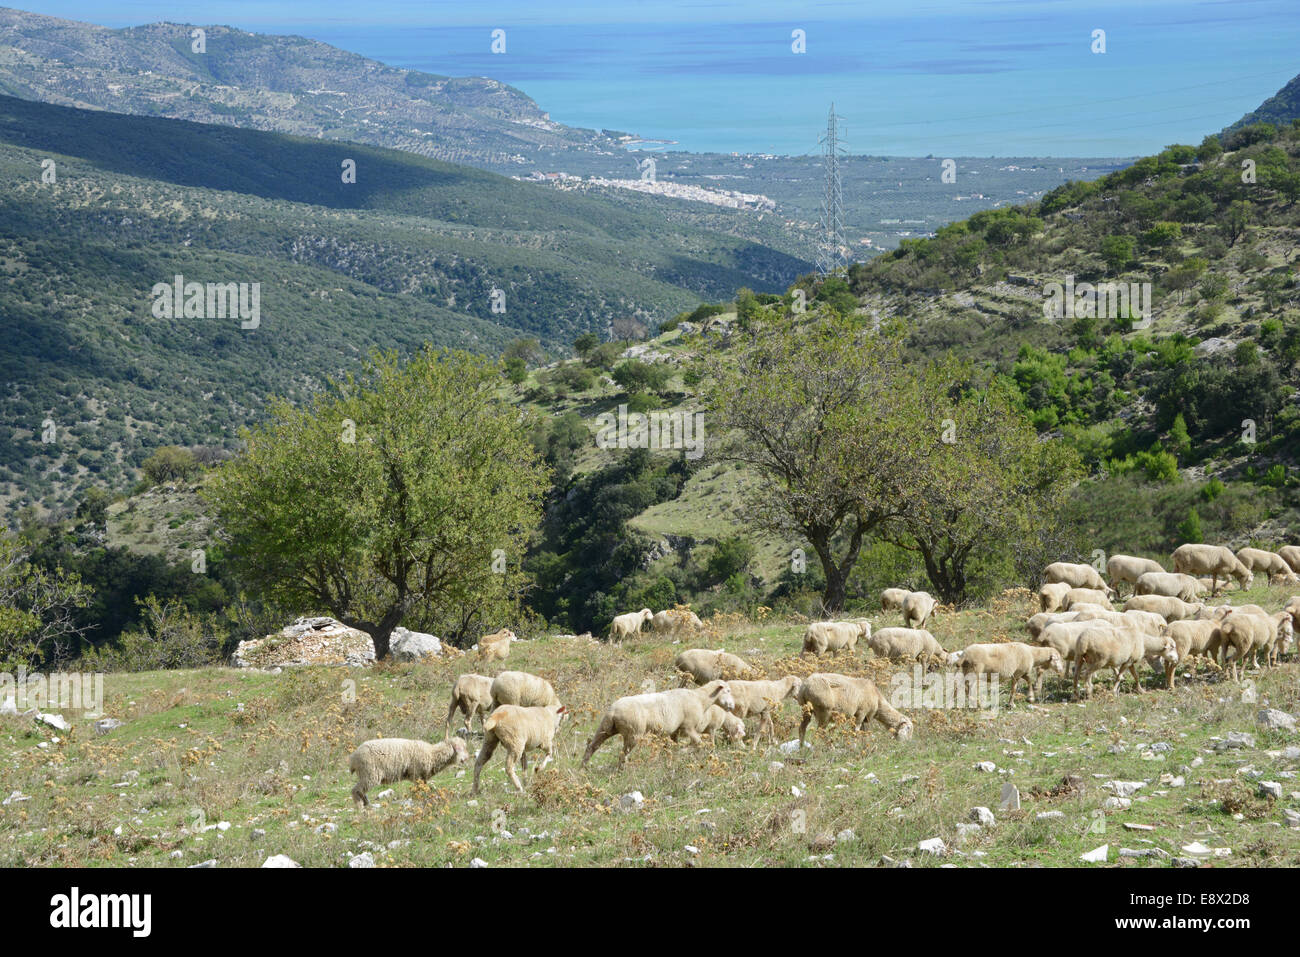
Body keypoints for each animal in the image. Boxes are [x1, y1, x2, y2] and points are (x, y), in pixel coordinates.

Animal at [582, 681, 738, 769]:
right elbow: (698, 744)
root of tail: (613, 712)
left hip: (605, 728)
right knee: (622, 754)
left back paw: (583, 767)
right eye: (727, 691)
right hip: (634, 732)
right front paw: (684, 752)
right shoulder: (688, 727)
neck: (700, 699)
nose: (732, 706)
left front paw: (670, 762)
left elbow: (670, 750)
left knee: (592, 746)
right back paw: (621, 770)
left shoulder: (674, 732)